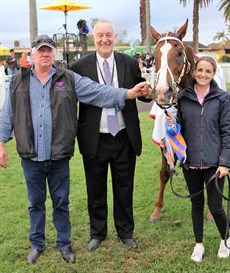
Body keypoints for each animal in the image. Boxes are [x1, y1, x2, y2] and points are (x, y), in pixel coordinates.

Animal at [149, 19, 212, 221]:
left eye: (179, 53)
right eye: (154, 56)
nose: (162, 91)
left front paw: (210, 212)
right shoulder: (166, 138)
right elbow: (164, 172)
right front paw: (157, 210)